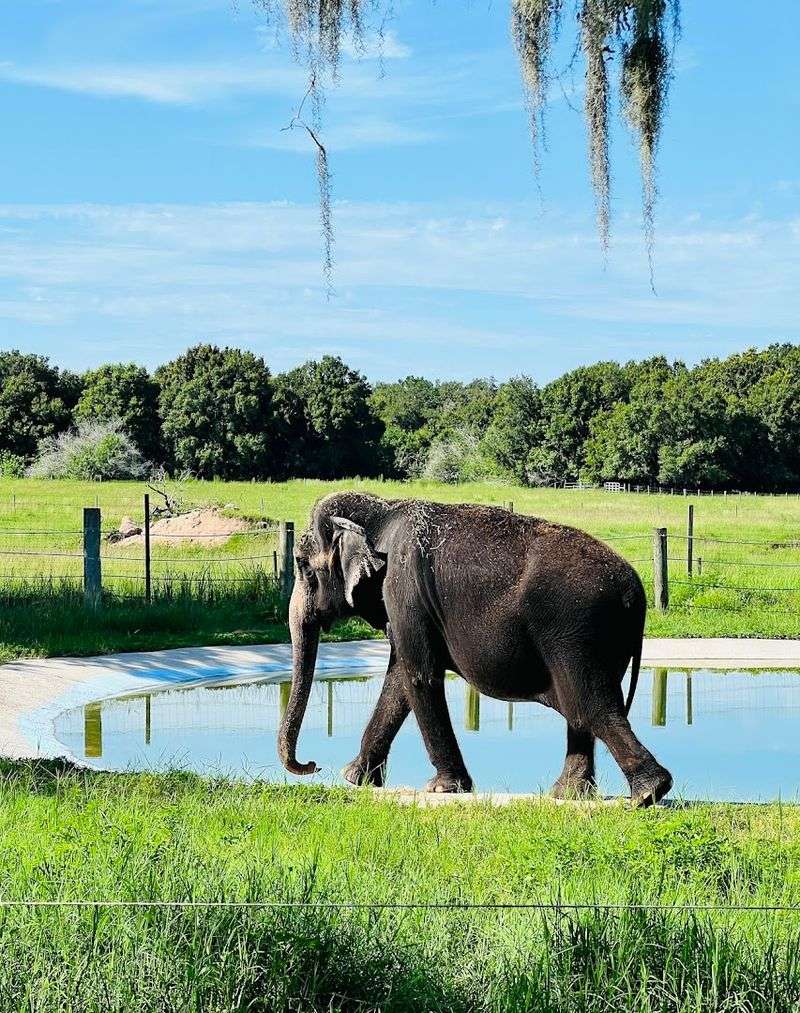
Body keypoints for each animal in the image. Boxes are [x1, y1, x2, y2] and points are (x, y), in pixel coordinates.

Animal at [277, 492, 673, 807]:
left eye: (302, 566)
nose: (313, 765)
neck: (382, 509)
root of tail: (635, 592)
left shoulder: (403, 589)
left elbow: (420, 676)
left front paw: (442, 789)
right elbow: (399, 682)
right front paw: (355, 778)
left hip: (575, 634)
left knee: (591, 706)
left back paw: (647, 794)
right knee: (583, 711)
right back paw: (569, 795)